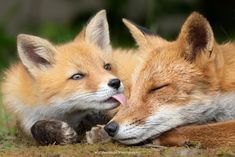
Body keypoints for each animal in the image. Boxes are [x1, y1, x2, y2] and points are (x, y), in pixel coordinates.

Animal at [0, 10, 130, 145]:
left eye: (107, 67)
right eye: (77, 76)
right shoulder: (26, 119)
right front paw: (53, 131)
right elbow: (34, 128)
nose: (116, 82)